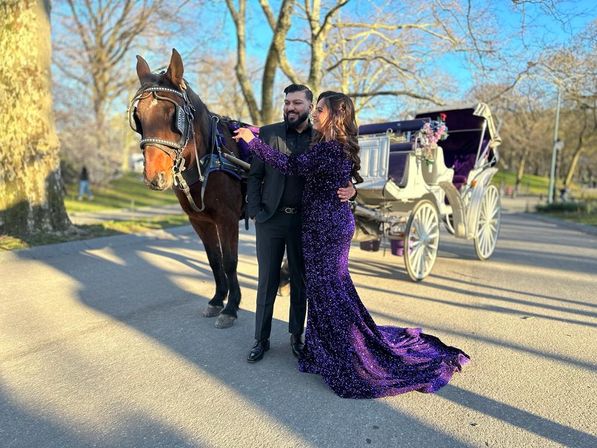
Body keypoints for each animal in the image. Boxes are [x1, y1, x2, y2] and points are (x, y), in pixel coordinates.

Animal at [127, 49, 246, 328]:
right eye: (138, 117)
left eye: (175, 116)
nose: (154, 177)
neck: (209, 162)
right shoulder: (200, 221)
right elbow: (214, 261)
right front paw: (217, 299)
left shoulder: (227, 219)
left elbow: (230, 262)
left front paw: (231, 307)